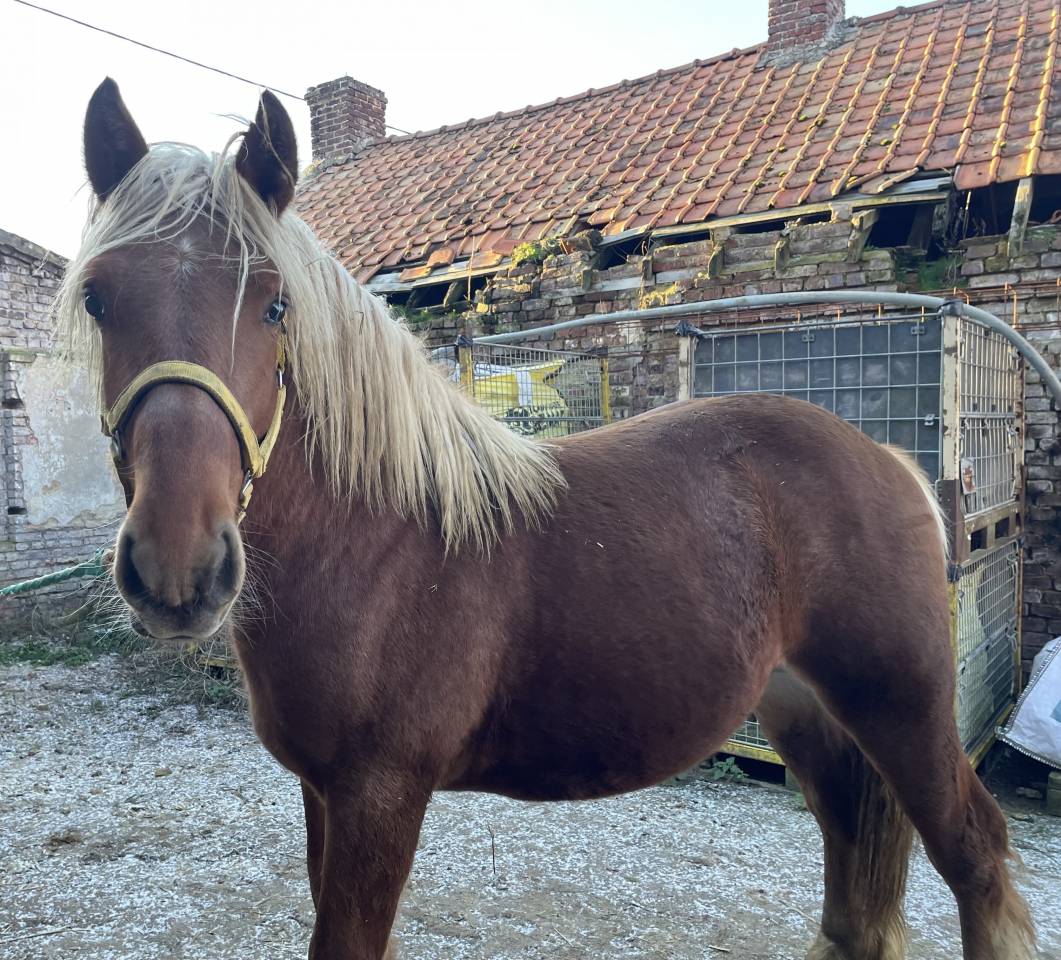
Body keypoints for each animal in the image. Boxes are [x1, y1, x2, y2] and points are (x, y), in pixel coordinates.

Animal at [56, 78, 1037, 960]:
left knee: (975, 857)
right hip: (807, 711)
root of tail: (893, 465)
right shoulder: (322, 793)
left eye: (274, 304)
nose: (177, 568)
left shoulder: (379, 797)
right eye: (99, 298)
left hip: (902, 709)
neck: (375, 543)